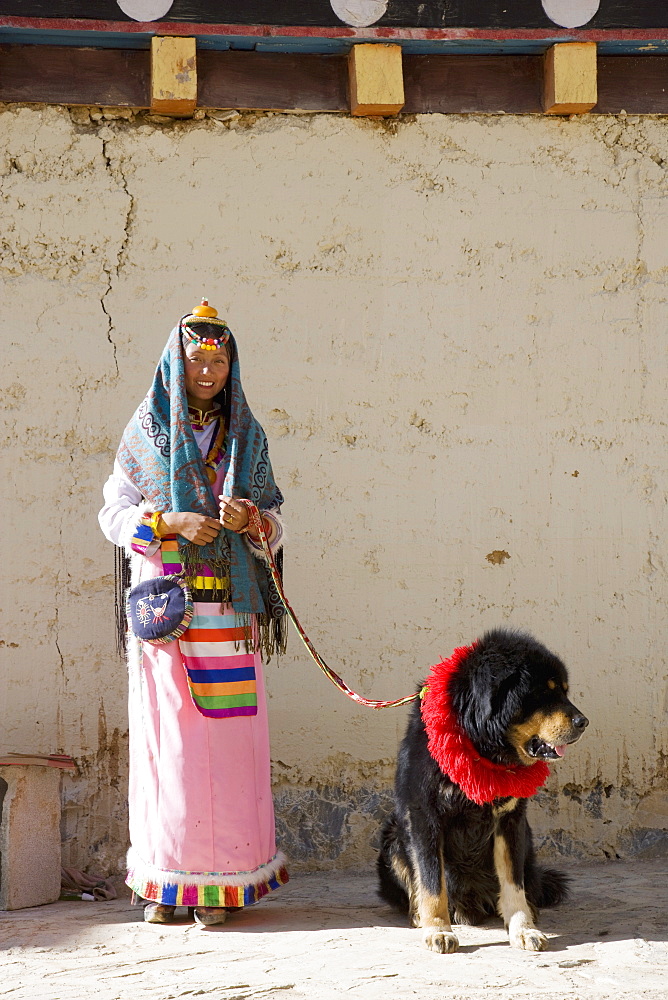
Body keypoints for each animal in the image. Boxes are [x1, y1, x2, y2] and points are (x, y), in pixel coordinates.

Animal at [378, 632, 588, 952]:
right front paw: (437, 929)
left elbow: (513, 883)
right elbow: (431, 881)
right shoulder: (425, 816)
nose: (584, 722)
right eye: (544, 693)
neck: (480, 746)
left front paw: (522, 928)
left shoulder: (510, 820)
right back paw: (419, 915)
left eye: (564, 692)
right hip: (393, 837)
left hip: (528, 842)